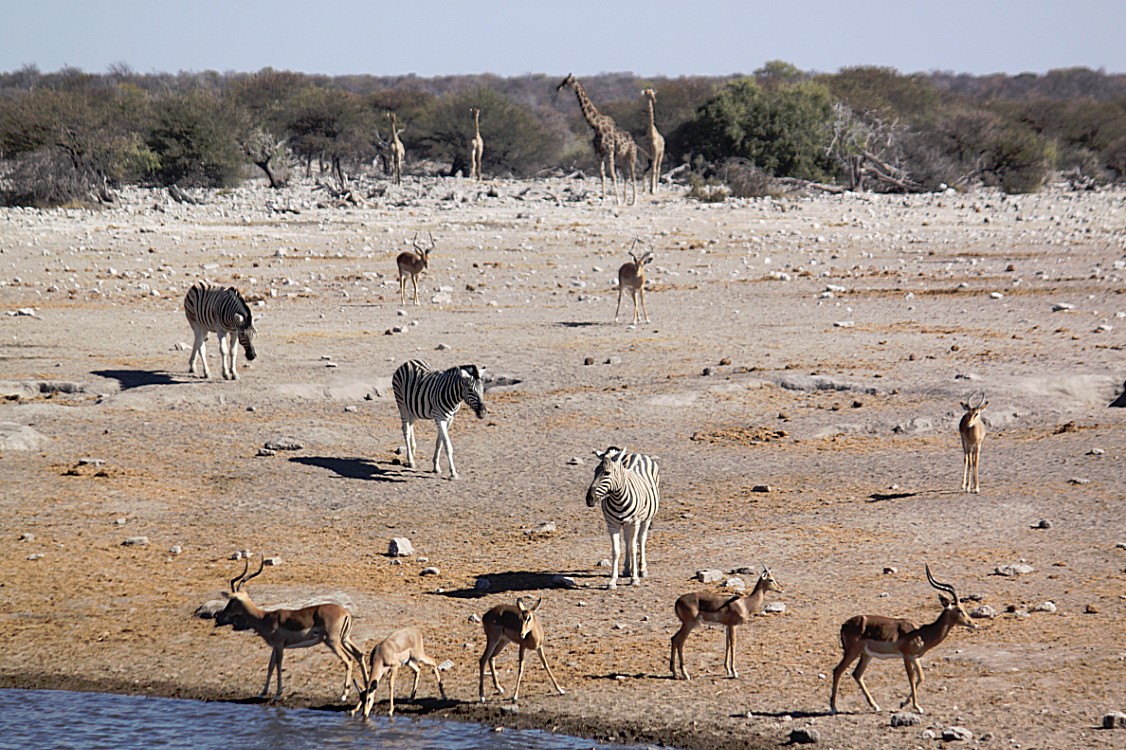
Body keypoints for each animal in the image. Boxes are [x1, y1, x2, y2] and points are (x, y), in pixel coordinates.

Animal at [556, 73, 639, 204]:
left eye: (568, 81)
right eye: (563, 80)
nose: (558, 88)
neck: (596, 127)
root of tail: (634, 142)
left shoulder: (609, 151)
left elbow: (613, 175)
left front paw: (617, 200)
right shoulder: (599, 153)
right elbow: (602, 175)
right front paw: (604, 199)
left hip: (631, 156)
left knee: (632, 174)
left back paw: (633, 200)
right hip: (622, 158)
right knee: (626, 176)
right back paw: (626, 200)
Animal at [585, 441, 662, 585]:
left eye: (607, 473)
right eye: (594, 471)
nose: (589, 499)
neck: (618, 498)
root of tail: (637, 454)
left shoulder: (634, 523)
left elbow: (633, 549)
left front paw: (635, 578)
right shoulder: (612, 525)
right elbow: (616, 551)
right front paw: (612, 580)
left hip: (645, 519)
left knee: (641, 540)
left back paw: (642, 569)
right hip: (625, 524)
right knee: (627, 541)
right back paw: (627, 568)